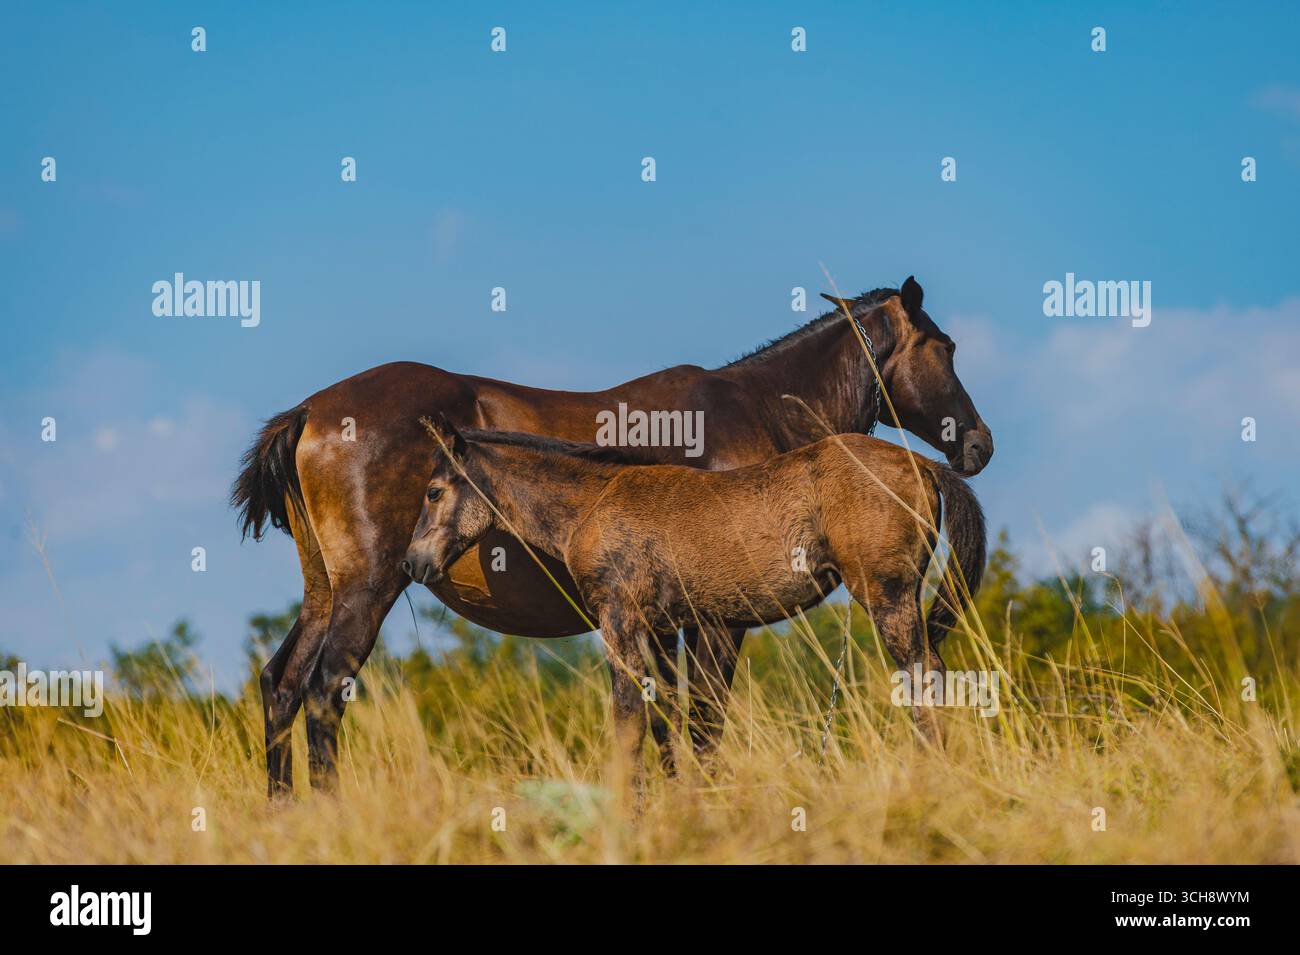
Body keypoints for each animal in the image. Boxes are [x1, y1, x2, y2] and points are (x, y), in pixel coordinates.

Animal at [402, 418, 986, 768]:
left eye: (433, 492)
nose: (412, 562)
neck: (594, 503)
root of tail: (925, 463)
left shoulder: (619, 620)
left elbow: (628, 721)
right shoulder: (662, 630)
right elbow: (672, 721)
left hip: (887, 594)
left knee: (923, 677)